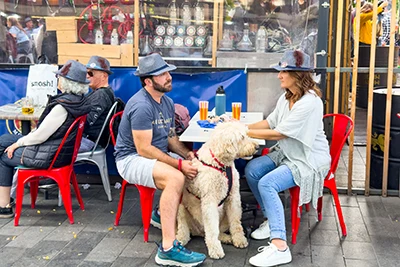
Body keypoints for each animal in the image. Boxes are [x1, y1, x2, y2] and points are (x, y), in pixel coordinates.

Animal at [177, 121, 260, 260]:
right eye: (242, 137)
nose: (257, 146)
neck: (221, 164)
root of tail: (200, 232)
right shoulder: (209, 201)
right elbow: (212, 228)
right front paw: (215, 250)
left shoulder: (233, 197)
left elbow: (236, 222)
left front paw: (239, 239)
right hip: (182, 207)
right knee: (186, 229)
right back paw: (180, 239)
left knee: (218, 230)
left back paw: (227, 238)